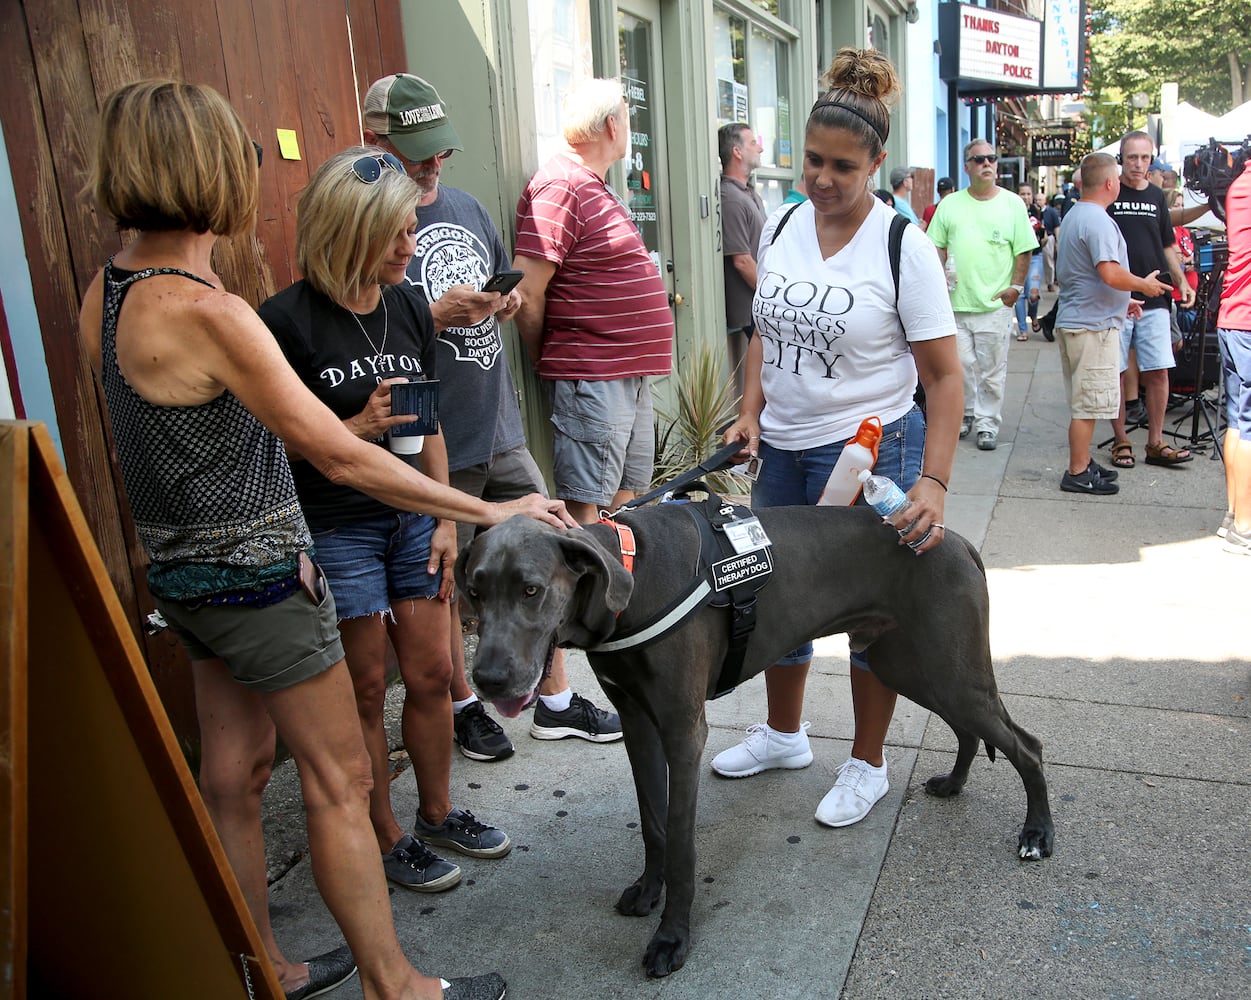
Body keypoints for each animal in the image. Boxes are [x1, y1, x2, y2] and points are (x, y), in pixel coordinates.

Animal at [455, 505, 1050, 976]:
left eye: (531, 589)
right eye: (475, 593)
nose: (487, 679)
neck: (631, 579)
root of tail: (955, 538)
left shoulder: (682, 728)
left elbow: (682, 842)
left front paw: (672, 938)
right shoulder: (638, 721)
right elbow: (652, 822)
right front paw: (648, 891)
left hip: (944, 666)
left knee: (1026, 745)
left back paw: (1036, 834)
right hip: (909, 664)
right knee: (970, 728)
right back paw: (954, 783)